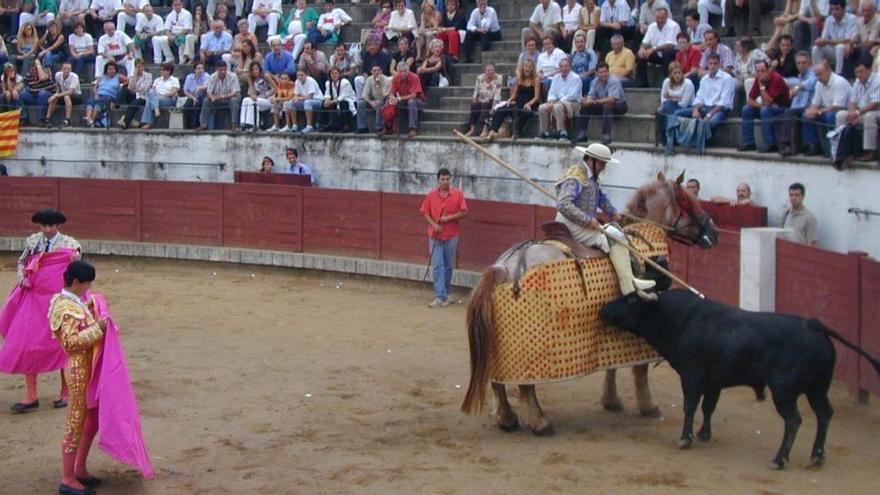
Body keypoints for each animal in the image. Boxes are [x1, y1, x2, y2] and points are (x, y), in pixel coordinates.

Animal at [458, 172, 720, 436]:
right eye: (687, 199)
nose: (715, 232)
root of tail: (505, 266)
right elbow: (640, 368)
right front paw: (648, 406)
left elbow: (612, 363)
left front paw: (611, 401)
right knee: (525, 383)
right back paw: (540, 422)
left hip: (498, 339)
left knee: (496, 377)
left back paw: (507, 419)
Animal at [600, 292, 880, 470]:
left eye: (632, 299)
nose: (603, 309)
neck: (679, 319)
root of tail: (814, 325)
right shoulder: (714, 382)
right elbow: (708, 407)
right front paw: (704, 434)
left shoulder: (692, 376)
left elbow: (690, 406)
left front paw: (685, 438)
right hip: (817, 389)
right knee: (824, 414)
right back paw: (817, 456)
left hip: (784, 392)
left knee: (794, 420)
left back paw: (780, 459)